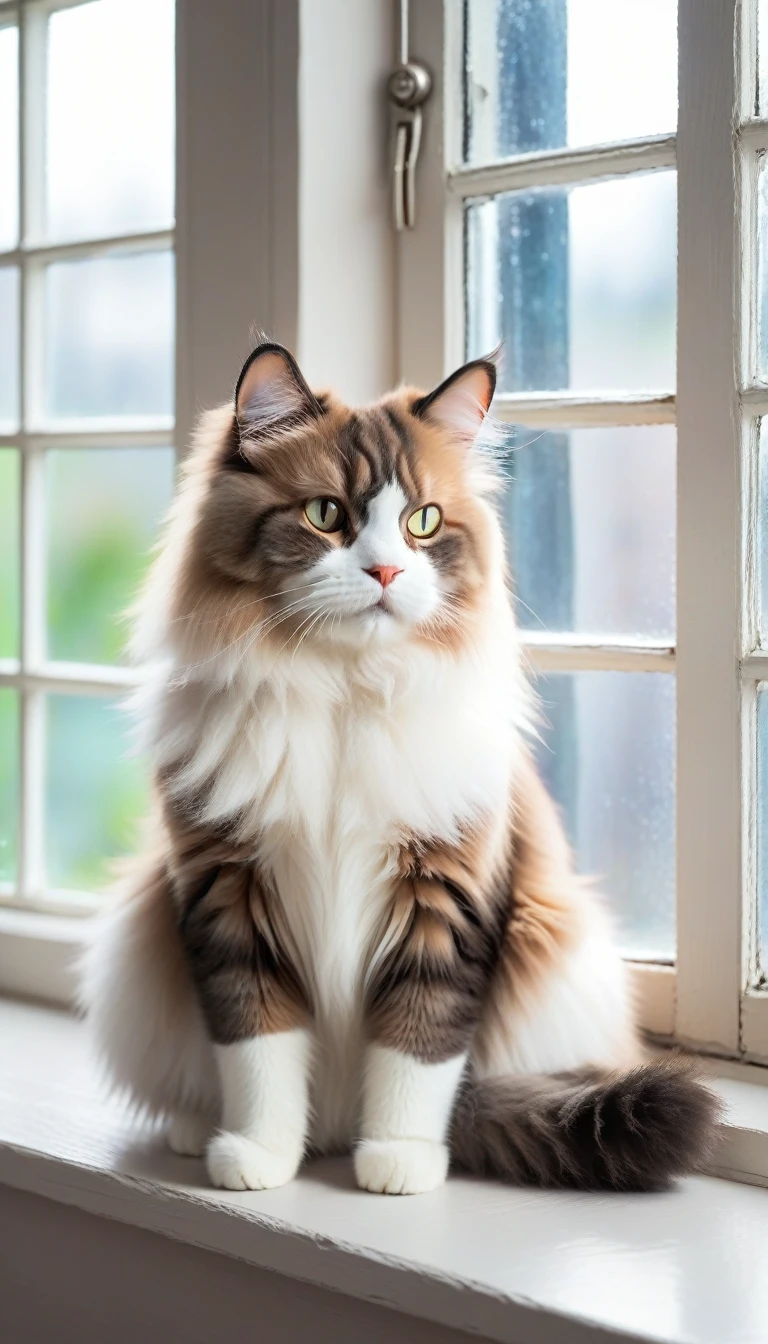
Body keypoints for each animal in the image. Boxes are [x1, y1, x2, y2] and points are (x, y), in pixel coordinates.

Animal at [82, 341, 720, 1193]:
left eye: (423, 523)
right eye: (326, 515)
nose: (385, 574)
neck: (343, 690)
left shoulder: (444, 900)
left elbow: (416, 1052)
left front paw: (397, 1164)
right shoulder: (229, 896)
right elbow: (258, 1052)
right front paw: (258, 1156)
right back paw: (204, 1132)